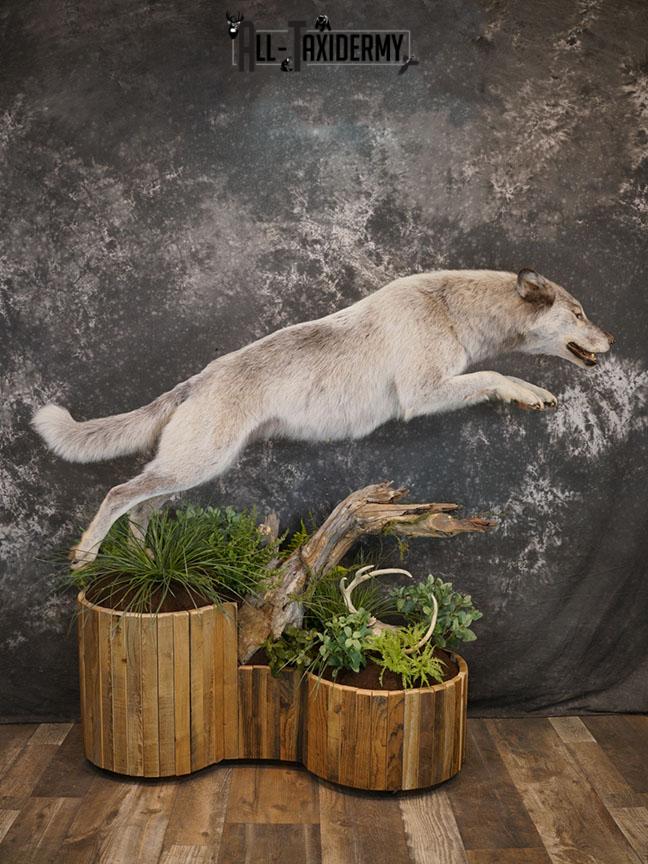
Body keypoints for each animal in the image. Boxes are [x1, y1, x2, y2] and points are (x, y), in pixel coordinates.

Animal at [32, 268, 613, 568]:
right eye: (580, 313)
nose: (613, 339)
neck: (452, 308)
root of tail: (195, 381)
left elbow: (493, 374)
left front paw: (532, 394)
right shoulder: (424, 394)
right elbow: (493, 375)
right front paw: (531, 390)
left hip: (189, 472)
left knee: (142, 509)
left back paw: (147, 565)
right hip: (195, 467)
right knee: (119, 495)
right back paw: (87, 554)